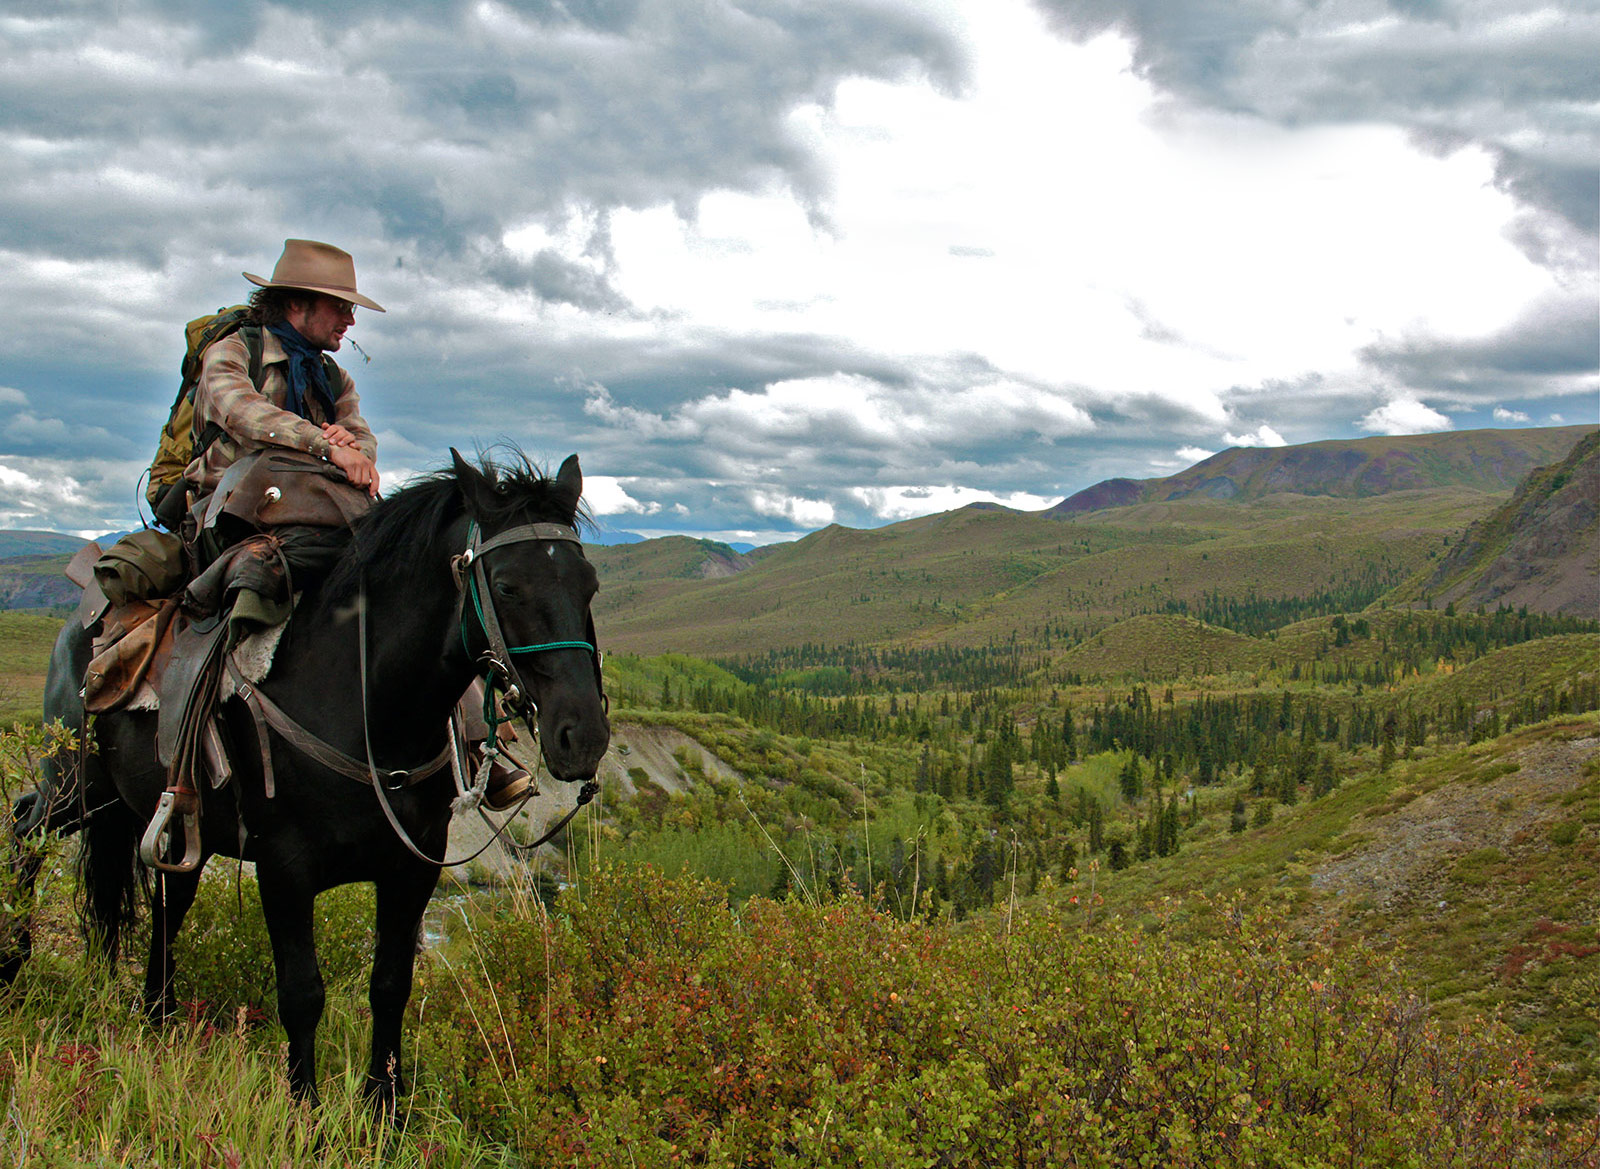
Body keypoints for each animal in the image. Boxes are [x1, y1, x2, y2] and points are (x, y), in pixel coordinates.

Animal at [7, 447, 604, 1106]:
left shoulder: (413, 868)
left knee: (169, 899)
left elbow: (390, 984)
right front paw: (304, 1107)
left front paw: (384, 1106)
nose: (584, 735)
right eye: (505, 586)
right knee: (25, 832)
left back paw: (158, 1016)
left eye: (590, 584)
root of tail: (79, 621)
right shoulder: (284, 870)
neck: (365, 703)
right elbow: (301, 993)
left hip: (153, 815)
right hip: (77, 785)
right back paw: (15, 966)